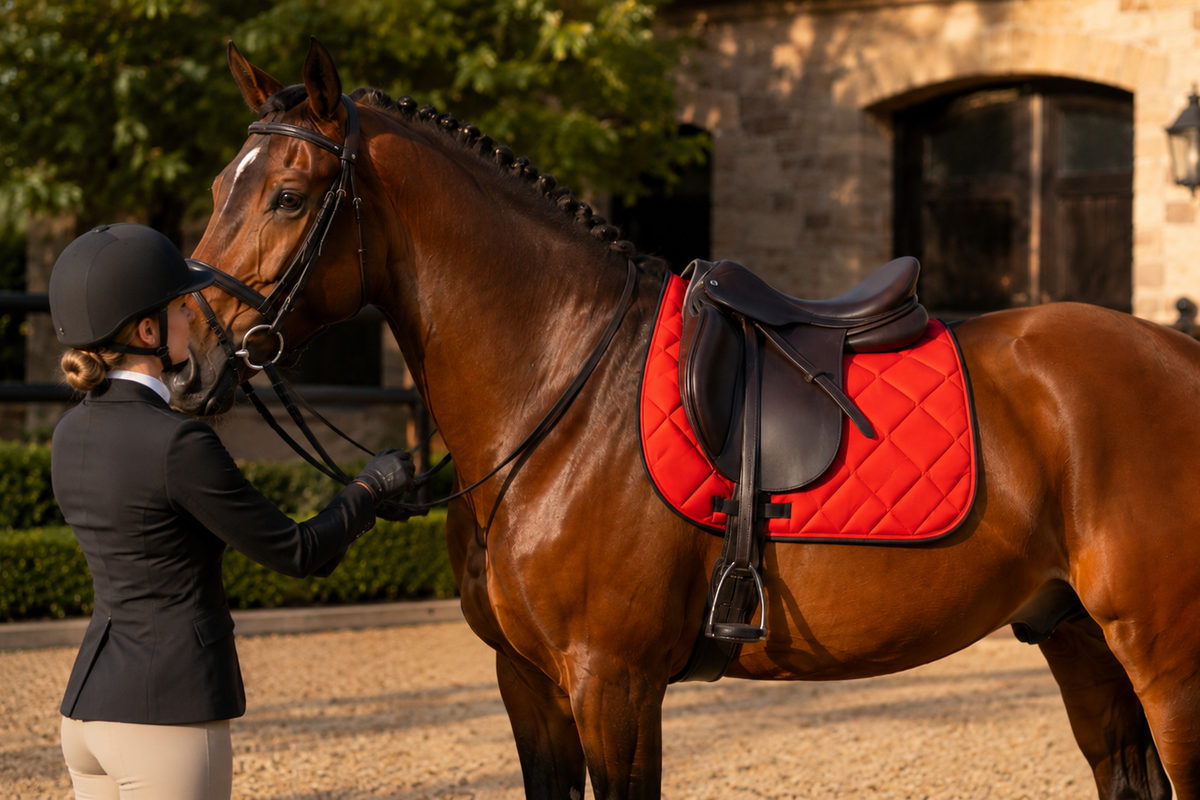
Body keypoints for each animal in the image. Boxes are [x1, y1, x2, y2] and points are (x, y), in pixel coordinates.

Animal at [170, 37, 1197, 800]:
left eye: (289, 196)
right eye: (219, 185)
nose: (180, 360)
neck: (561, 396)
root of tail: (1176, 355)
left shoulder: (613, 686)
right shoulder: (529, 686)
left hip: (1164, 654)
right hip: (1075, 636)